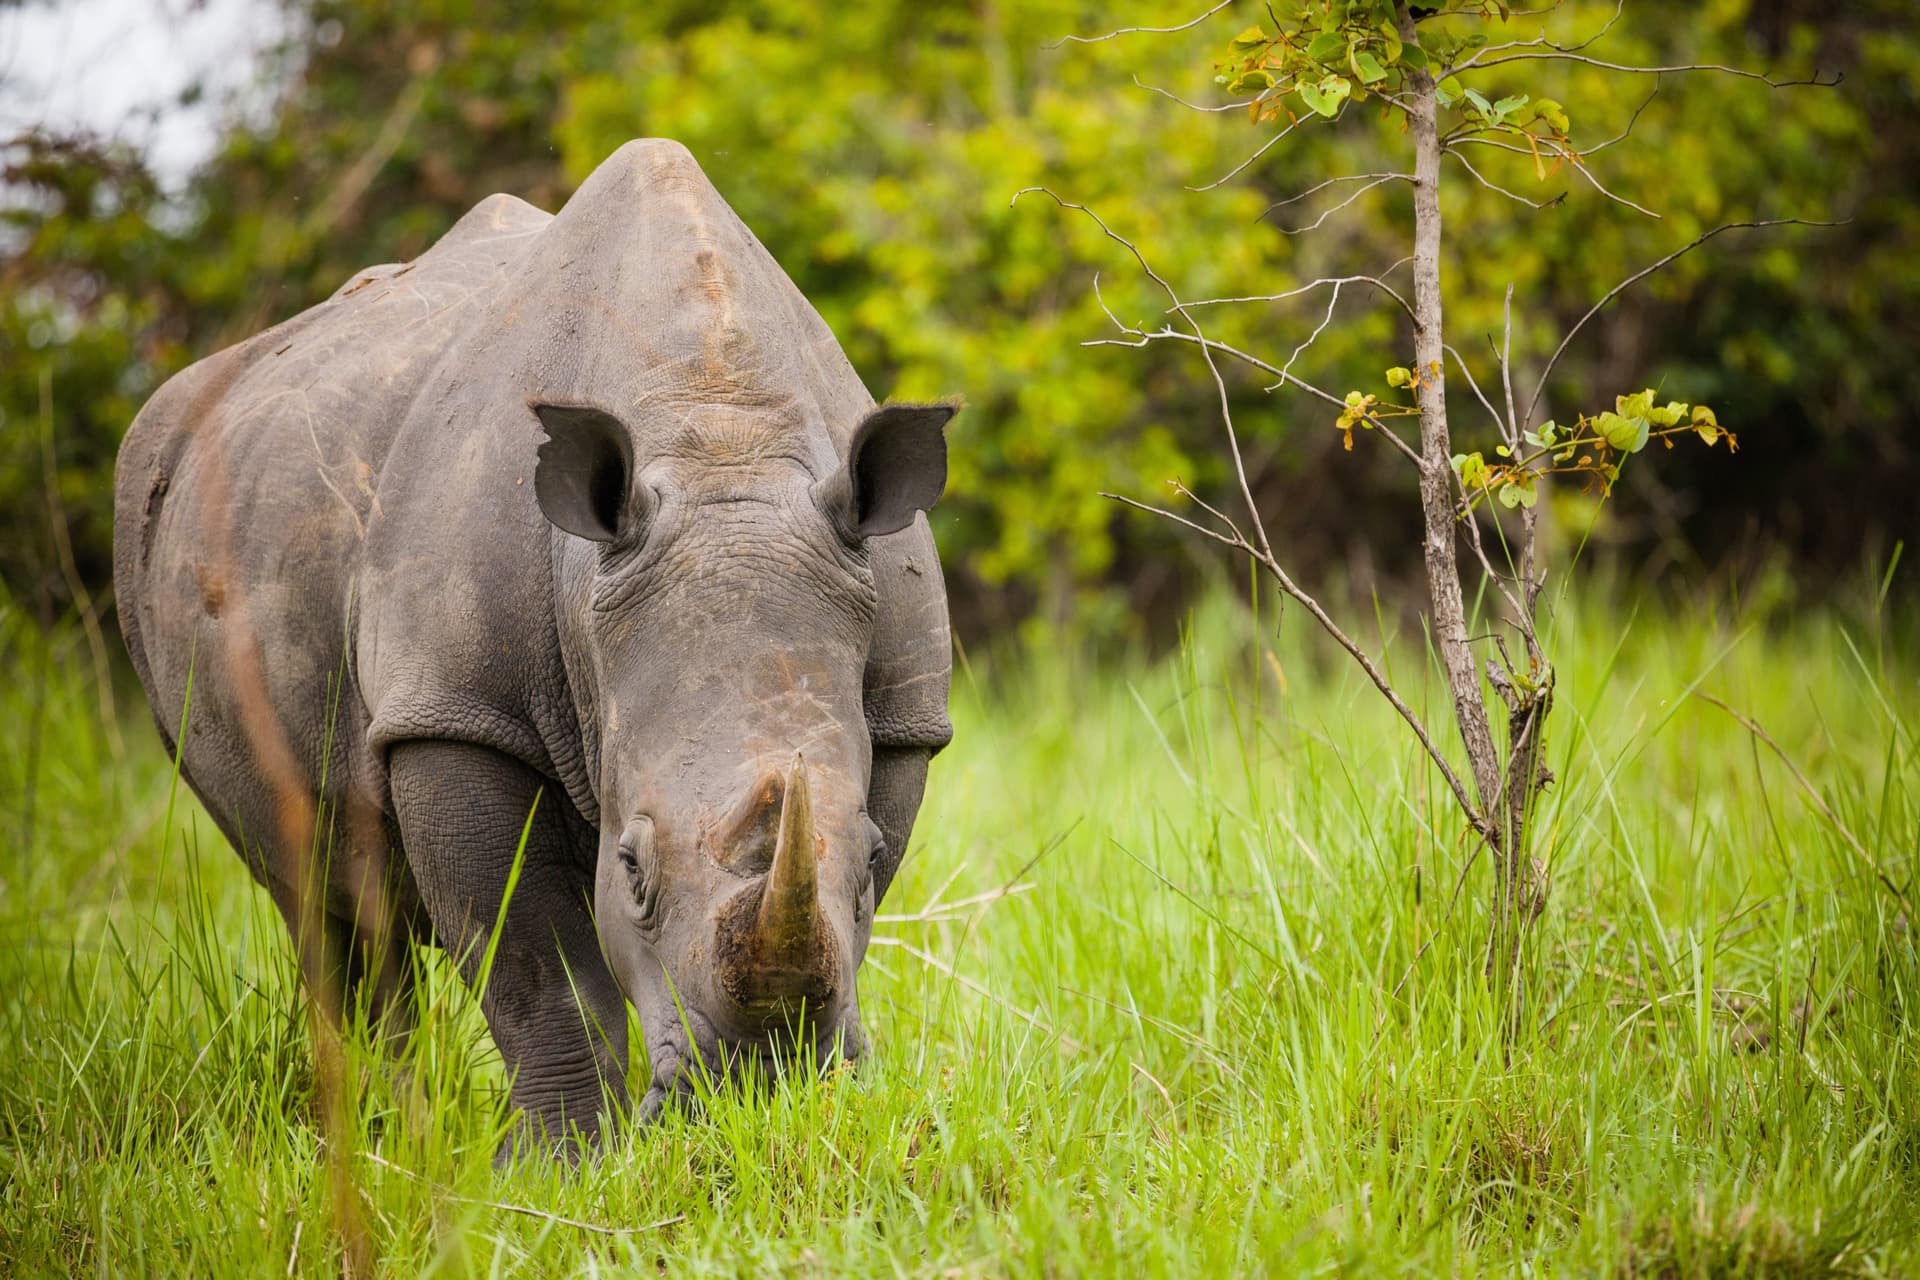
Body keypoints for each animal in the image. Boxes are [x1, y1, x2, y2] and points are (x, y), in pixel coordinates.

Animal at [112, 139, 955, 1145]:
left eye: (868, 856)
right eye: (630, 869)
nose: (759, 1088)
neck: (721, 436)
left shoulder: (903, 717)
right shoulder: (456, 708)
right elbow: (537, 969)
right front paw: (569, 1161)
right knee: (319, 895)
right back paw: (393, 1136)